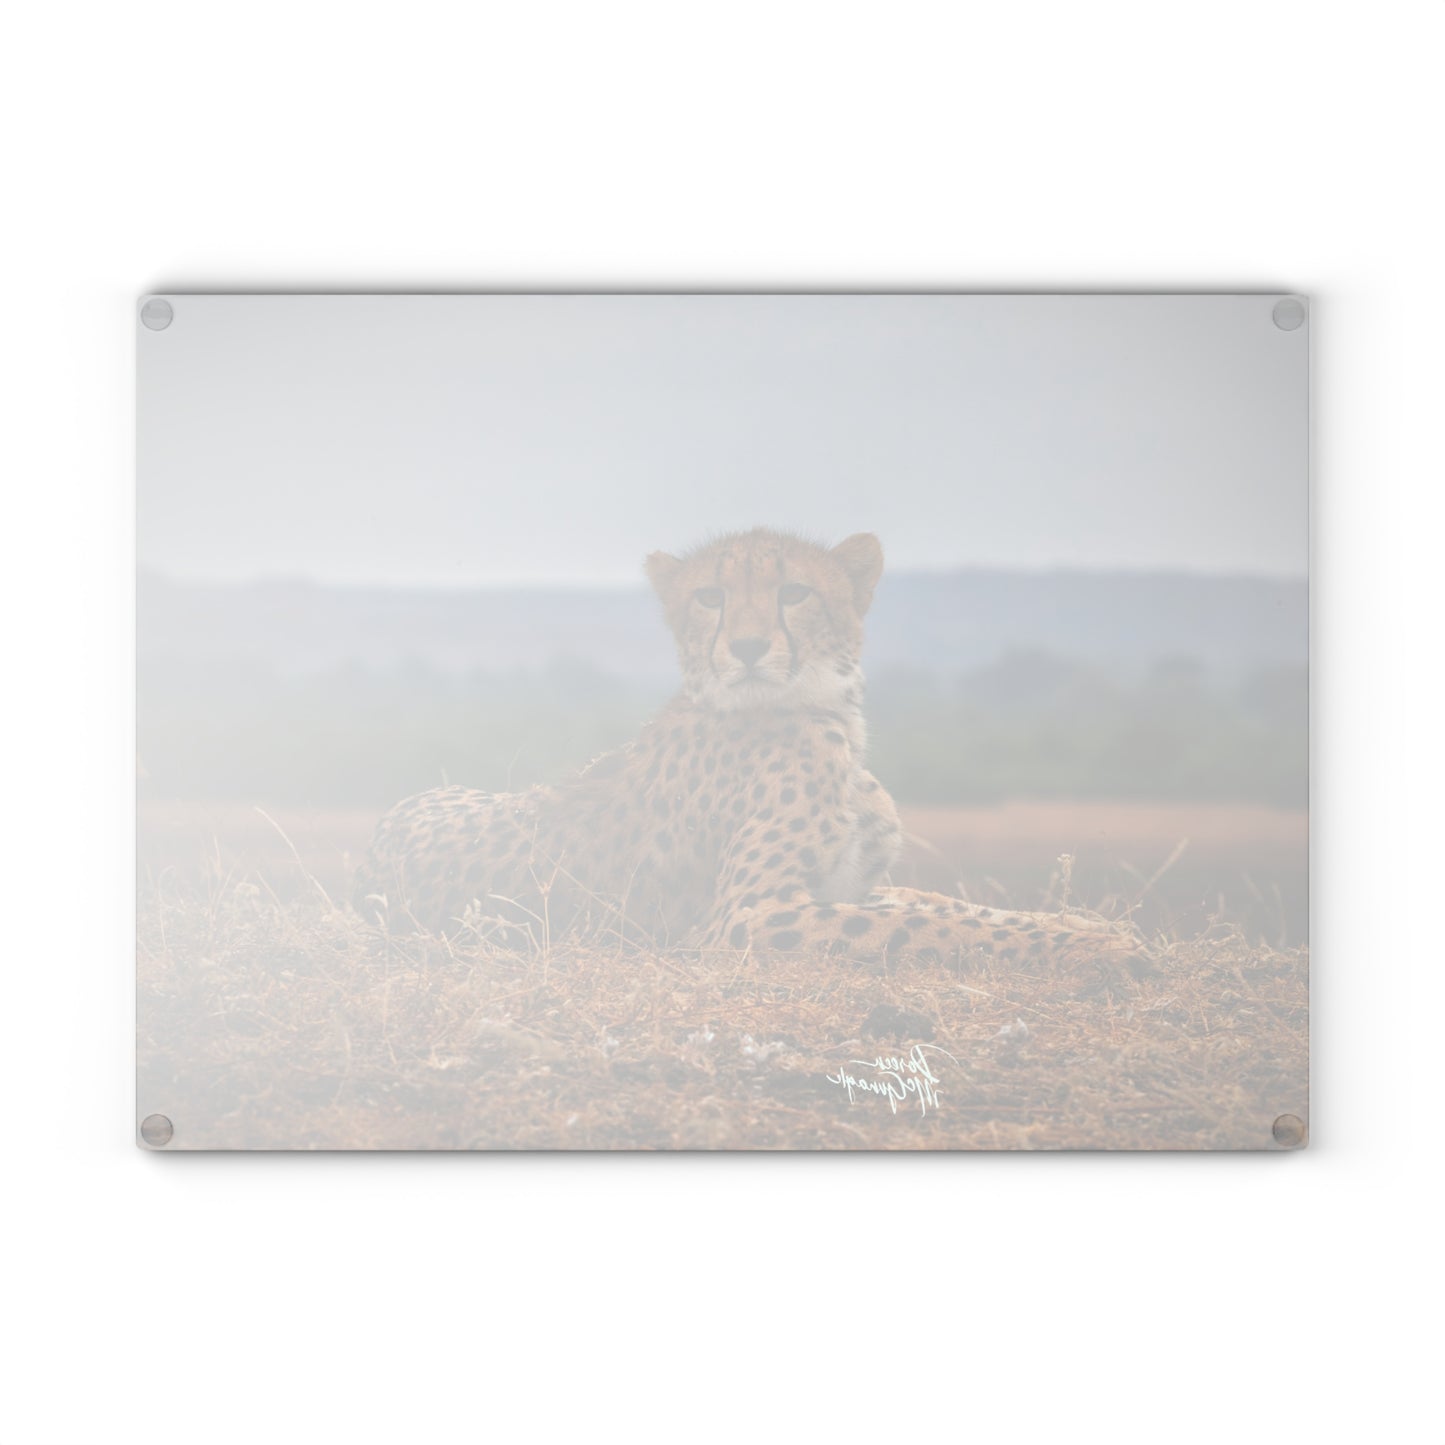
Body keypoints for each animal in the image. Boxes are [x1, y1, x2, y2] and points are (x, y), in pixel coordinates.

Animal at [352, 528, 1148, 973]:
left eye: (795, 592)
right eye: (710, 597)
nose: (746, 646)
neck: (828, 714)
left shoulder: (847, 883)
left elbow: (950, 905)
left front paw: (1089, 926)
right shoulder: (748, 917)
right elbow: (921, 922)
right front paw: (1097, 948)